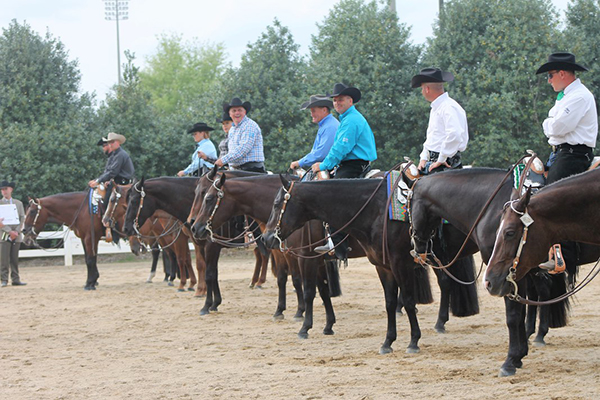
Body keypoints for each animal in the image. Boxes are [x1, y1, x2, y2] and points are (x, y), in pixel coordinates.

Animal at [264, 175, 482, 354]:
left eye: (276, 204)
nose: (267, 238)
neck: (376, 210)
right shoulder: (383, 267)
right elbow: (389, 302)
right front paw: (388, 342)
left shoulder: (400, 264)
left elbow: (409, 301)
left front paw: (413, 341)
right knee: (445, 282)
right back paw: (440, 322)